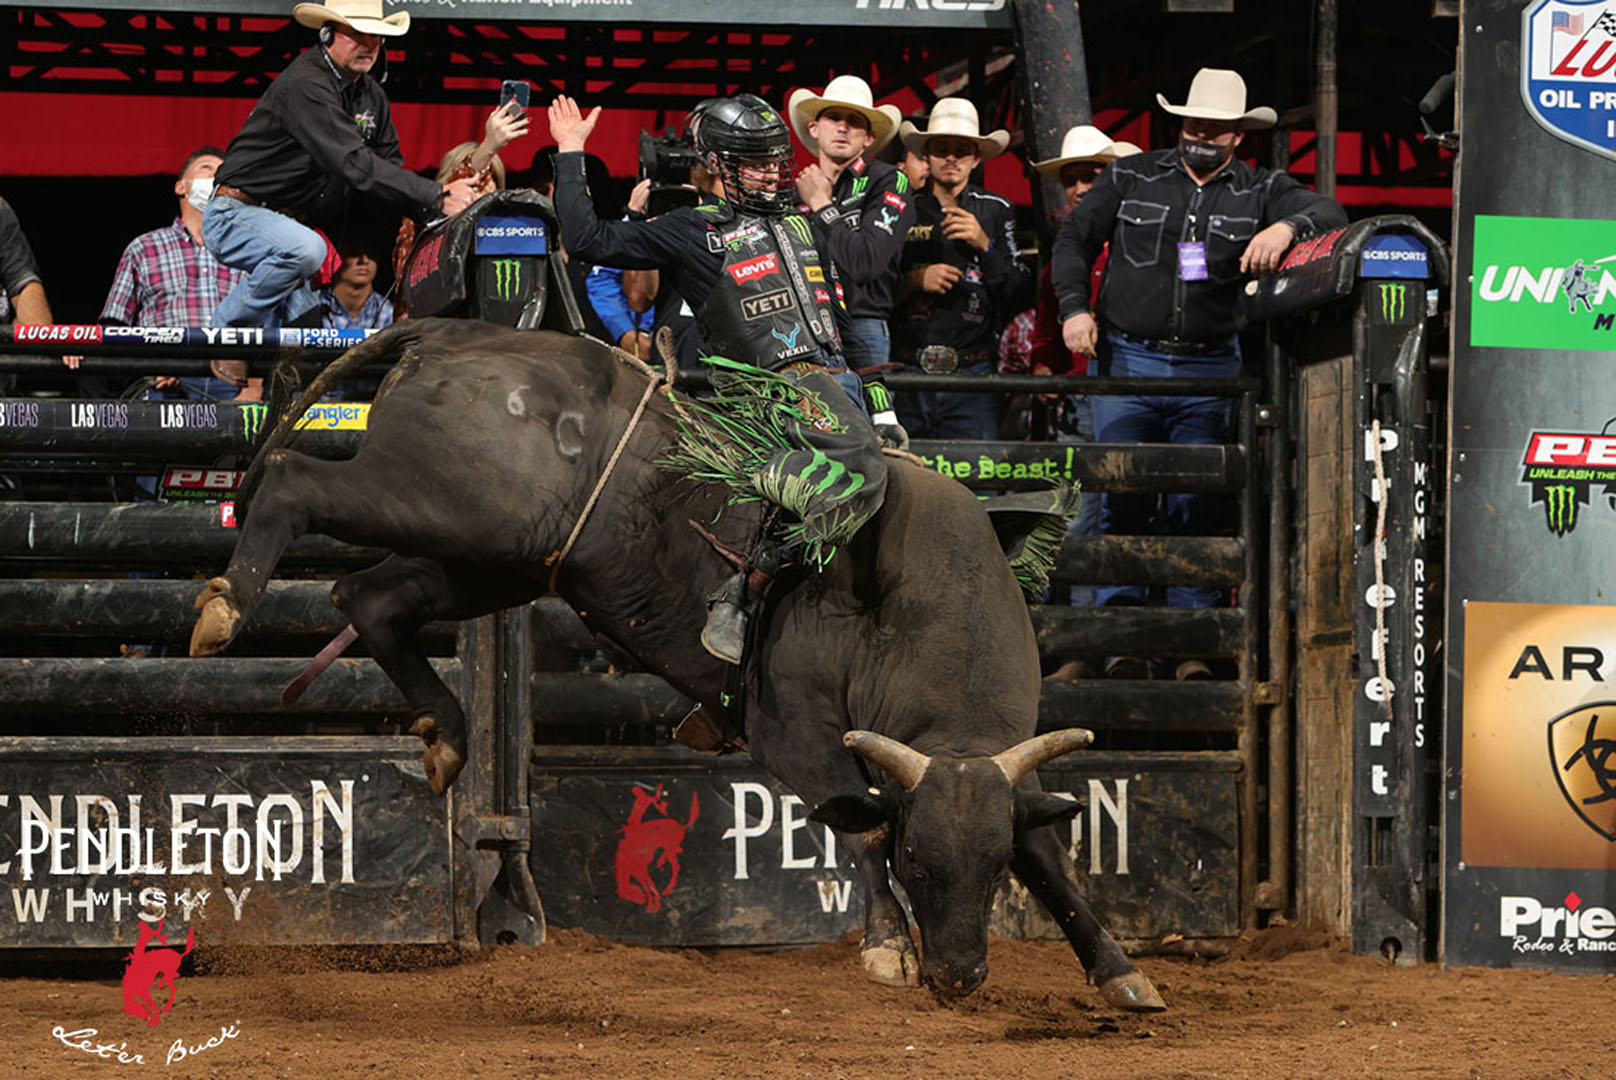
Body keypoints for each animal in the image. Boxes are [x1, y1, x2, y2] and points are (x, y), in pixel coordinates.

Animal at [189, 319, 1164, 1010]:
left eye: (991, 870)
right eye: (919, 858)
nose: (959, 978)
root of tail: (459, 334)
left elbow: (1050, 854)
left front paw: (1120, 970)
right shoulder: (792, 730)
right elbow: (856, 825)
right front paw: (888, 948)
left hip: (491, 556)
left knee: (371, 601)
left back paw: (448, 736)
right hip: (440, 502)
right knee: (293, 482)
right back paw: (223, 610)